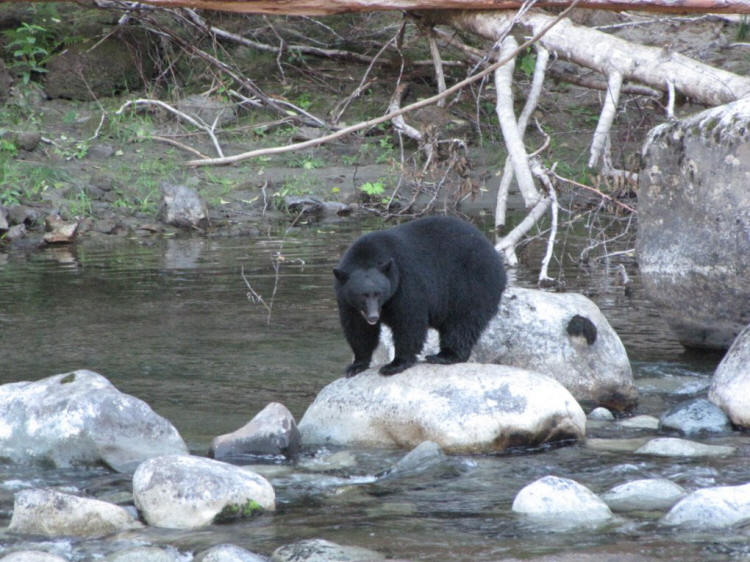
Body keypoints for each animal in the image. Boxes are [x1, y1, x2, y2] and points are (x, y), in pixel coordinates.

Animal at [334, 214, 506, 376]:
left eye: (379, 293)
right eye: (362, 295)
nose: (373, 317)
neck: (367, 255)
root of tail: (495, 256)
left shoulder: (406, 280)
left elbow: (409, 320)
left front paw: (395, 364)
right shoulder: (346, 300)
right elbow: (358, 328)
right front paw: (357, 365)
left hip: (471, 283)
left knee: (463, 322)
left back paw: (445, 355)